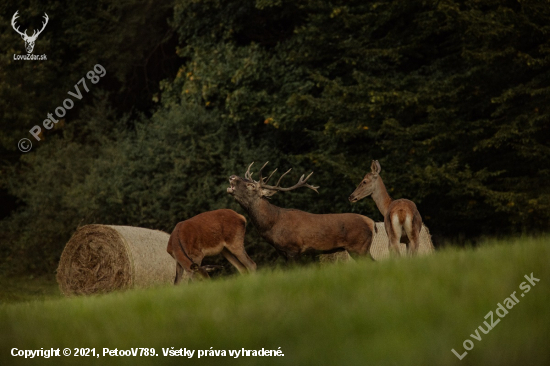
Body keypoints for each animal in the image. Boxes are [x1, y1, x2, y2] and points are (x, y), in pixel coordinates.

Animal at [226, 162, 378, 258]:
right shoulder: (283, 252)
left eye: (251, 185)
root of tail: (371, 223)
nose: (232, 176)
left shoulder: (293, 249)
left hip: (359, 246)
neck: (272, 225)